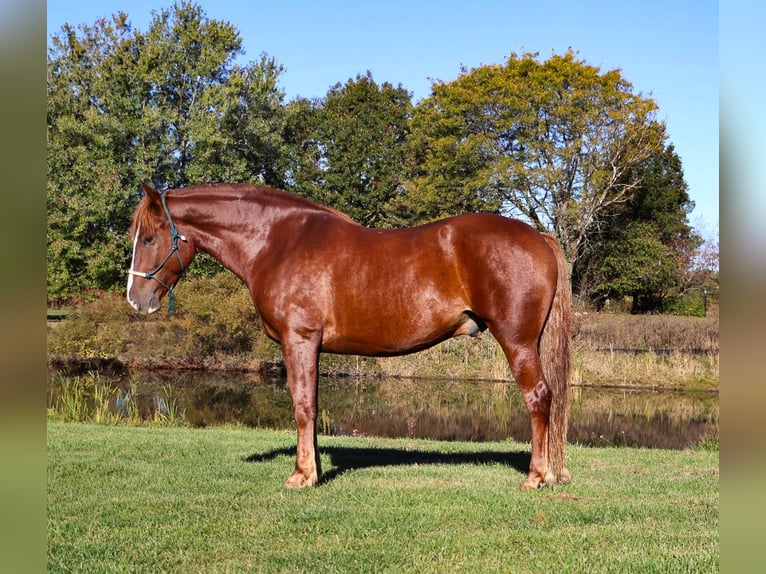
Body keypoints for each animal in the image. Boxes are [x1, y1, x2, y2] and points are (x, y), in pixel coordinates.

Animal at [127, 182, 572, 489]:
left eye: (148, 237)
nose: (136, 299)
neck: (276, 241)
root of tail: (539, 236)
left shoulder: (299, 339)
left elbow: (302, 406)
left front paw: (301, 476)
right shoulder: (311, 347)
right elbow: (313, 405)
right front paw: (314, 469)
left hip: (517, 342)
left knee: (538, 398)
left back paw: (536, 477)